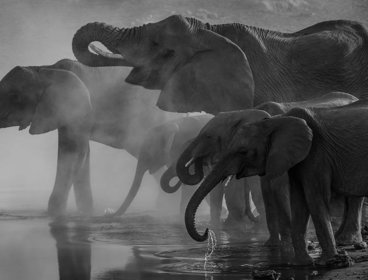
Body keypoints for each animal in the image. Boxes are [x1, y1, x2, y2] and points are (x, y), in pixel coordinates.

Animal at [0, 59, 177, 217]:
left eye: (14, 96)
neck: (45, 69)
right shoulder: (65, 114)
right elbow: (82, 155)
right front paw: (85, 213)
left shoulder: (76, 108)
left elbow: (73, 153)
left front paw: (55, 215)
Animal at [184, 99, 368, 266]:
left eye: (243, 152)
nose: (206, 231)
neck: (275, 122)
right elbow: (298, 200)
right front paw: (300, 263)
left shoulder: (316, 153)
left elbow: (314, 198)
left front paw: (327, 262)